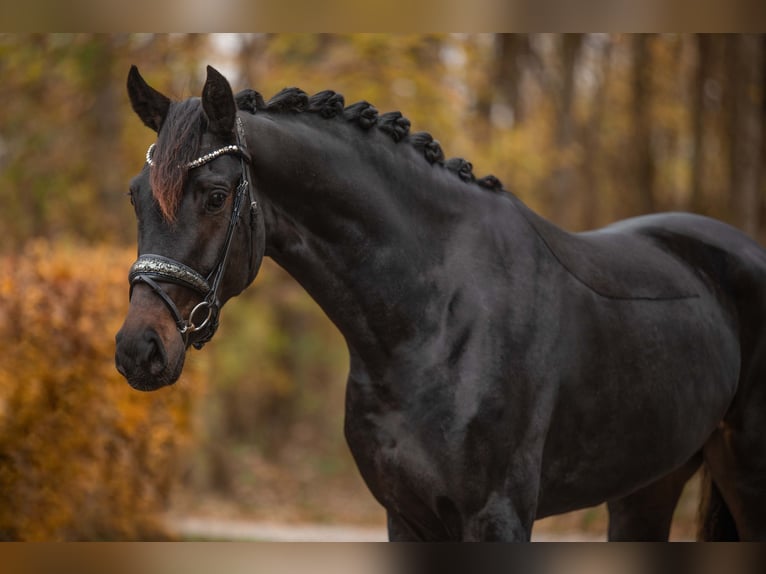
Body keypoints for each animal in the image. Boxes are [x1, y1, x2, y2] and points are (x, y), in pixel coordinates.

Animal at [115, 67, 766, 544]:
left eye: (215, 196)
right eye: (136, 197)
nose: (137, 350)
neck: (431, 322)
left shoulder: (496, 519)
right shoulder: (406, 517)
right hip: (645, 486)